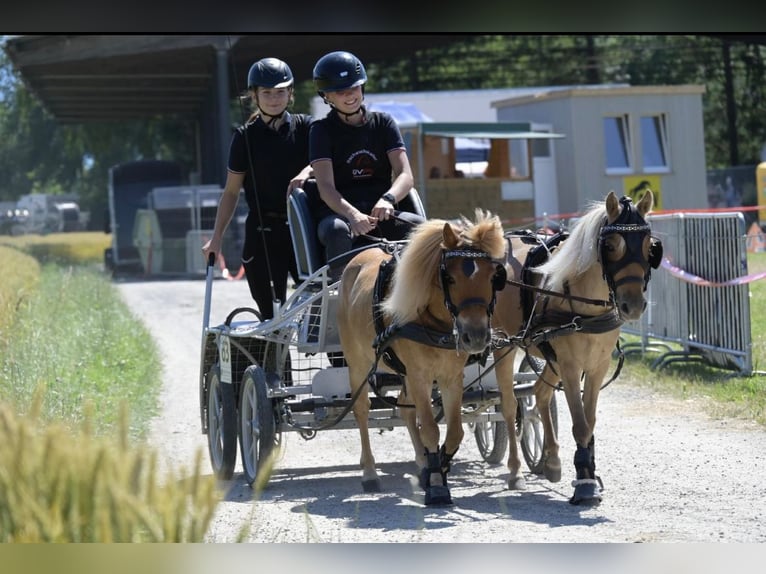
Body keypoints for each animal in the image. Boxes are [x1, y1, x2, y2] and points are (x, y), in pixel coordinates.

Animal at [336, 209, 507, 505]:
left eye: (492, 277)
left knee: (406, 409)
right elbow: (429, 428)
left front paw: (436, 467)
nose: (475, 336)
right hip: (358, 363)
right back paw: (369, 473)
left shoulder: (451, 378)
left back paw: (421, 461)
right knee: (362, 410)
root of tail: (356, 261)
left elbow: (454, 431)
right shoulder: (420, 376)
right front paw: (437, 485)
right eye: (450, 278)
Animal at [491, 190, 661, 505]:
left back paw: (551, 461)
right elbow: (580, 424)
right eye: (610, 245)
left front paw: (588, 472)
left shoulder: (596, 366)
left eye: (649, 246)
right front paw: (584, 482)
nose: (633, 305)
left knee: (539, 394)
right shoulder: (571, 366)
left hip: (550, 357)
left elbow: (589, 420)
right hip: (503, 345)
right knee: (508, 406)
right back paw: (516, 471)